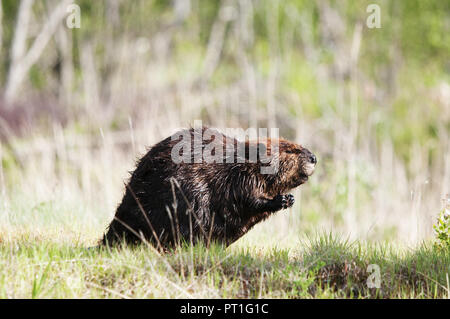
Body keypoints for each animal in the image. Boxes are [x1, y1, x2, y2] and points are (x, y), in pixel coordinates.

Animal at [101, 127, 316, 250]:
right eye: (290, 150)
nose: (314, 157)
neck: (238, 160)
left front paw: (289, 199)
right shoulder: (238, 177)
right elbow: (246, 198)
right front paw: (282, 199)